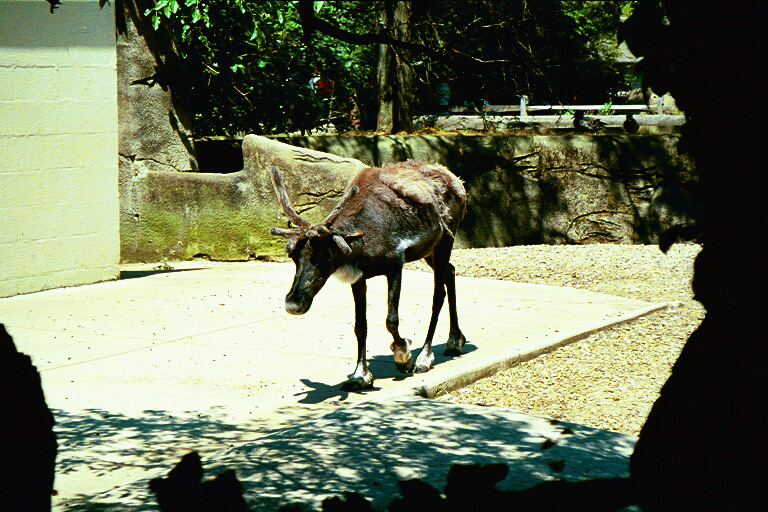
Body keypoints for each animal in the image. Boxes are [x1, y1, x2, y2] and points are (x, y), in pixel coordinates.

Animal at [269, 160, 467, 391]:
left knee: (438, 294)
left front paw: (404, 355)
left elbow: (391, 320)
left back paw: (425, 357)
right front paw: (360, 375)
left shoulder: (395, 265)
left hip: (446, 239)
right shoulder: (359, 278)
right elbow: (360, 326)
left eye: (325, 255)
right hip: (429, 251)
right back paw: (455, 340)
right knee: (450, 272)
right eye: (293, 255)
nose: (293, 304)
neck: (361, 243)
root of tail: (456, 180)